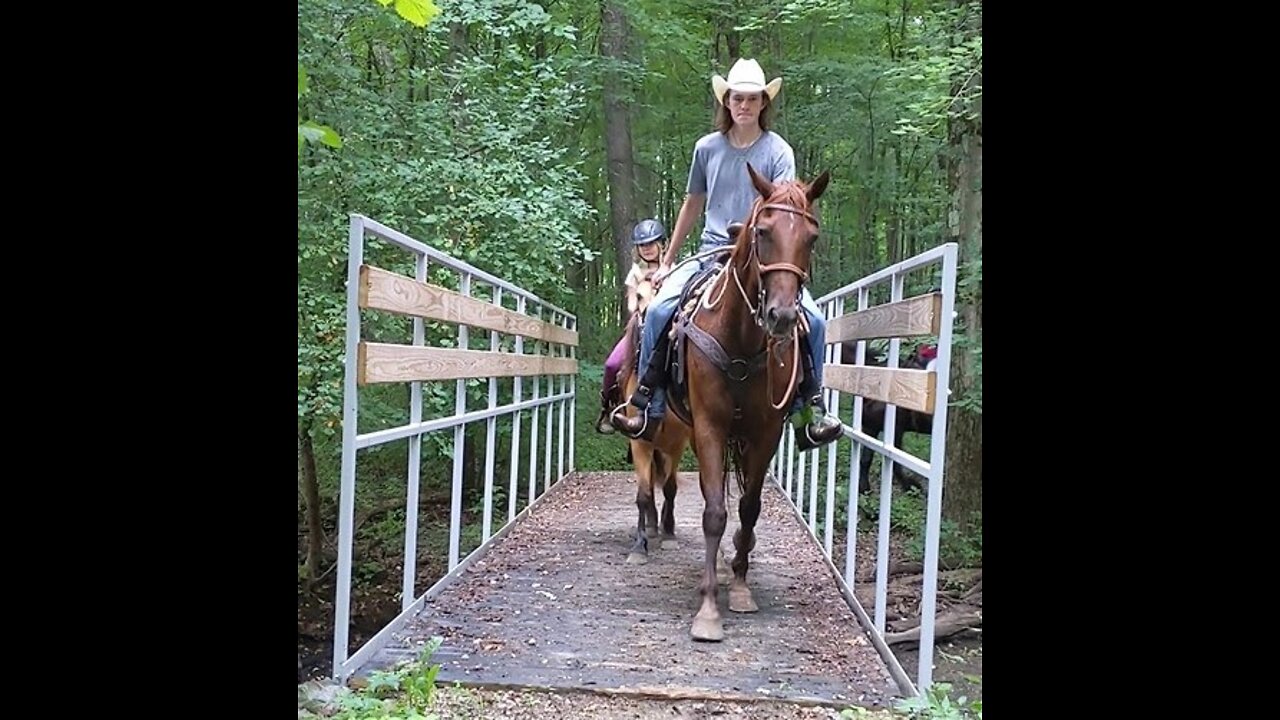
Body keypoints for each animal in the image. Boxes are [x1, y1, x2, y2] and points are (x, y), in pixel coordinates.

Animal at [660, 162, 829, 638]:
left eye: (811, 237)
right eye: (763, 232)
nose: (783, 316)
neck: (740, 337)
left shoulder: (765, 433)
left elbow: (749, 509)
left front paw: (738, 586)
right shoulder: (710, 427)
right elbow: (714, 511)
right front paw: (708, 609)